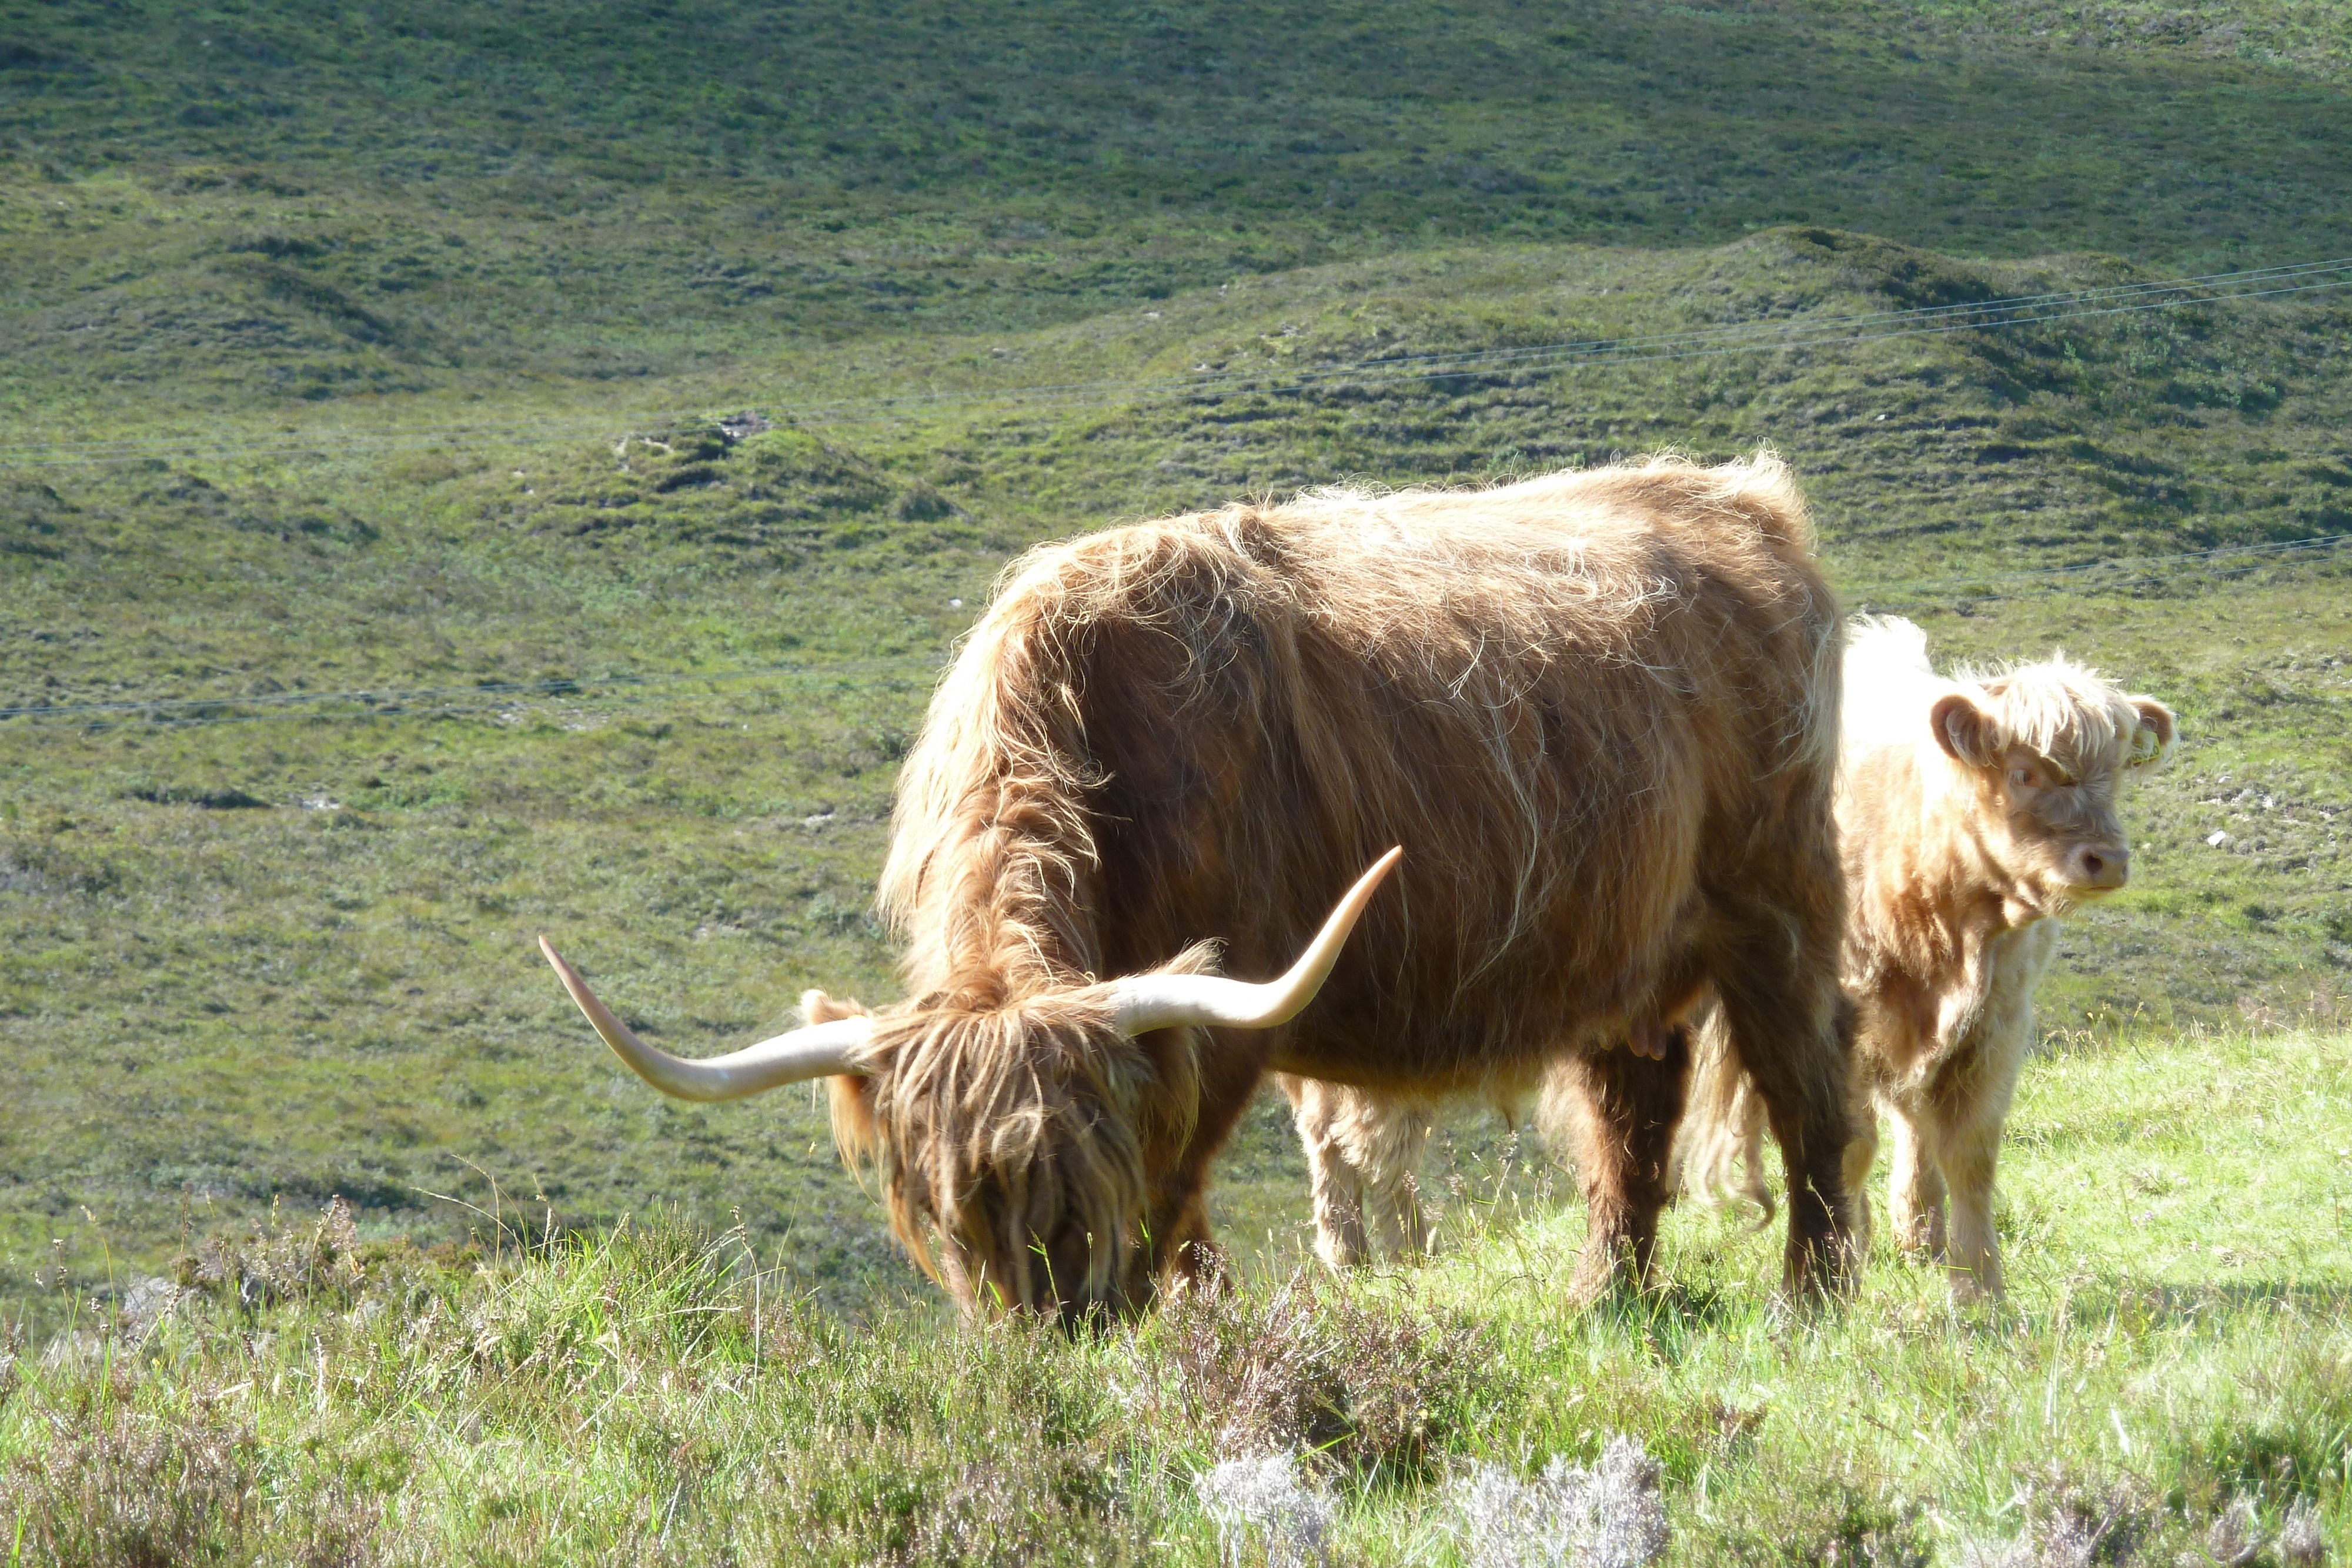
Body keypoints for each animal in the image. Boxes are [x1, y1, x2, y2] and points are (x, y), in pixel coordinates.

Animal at [546, 456, 1853, 1326]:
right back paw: (1605, 1296)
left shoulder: (1219, 1020)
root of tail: (1736, 496)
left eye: (1079, 1169)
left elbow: (1175, 1200)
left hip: (1775, 897)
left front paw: (1183, 1329)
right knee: (1635, 1110)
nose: (1050, 1327)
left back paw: (1812, 1294)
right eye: (947, 1203)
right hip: (1621, 942)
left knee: (1808, 1085)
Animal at [1684, 616, 2173, 1298]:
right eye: (2024, 773)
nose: (2107, 861)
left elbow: (1970, 1154)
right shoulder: (1846, 1022)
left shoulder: (1995, 1025)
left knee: (1915, 1122)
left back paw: (1921, 1236)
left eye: (2119, 772)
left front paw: (1980, 1288)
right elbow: (1850, 1145)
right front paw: (1844, 1265)